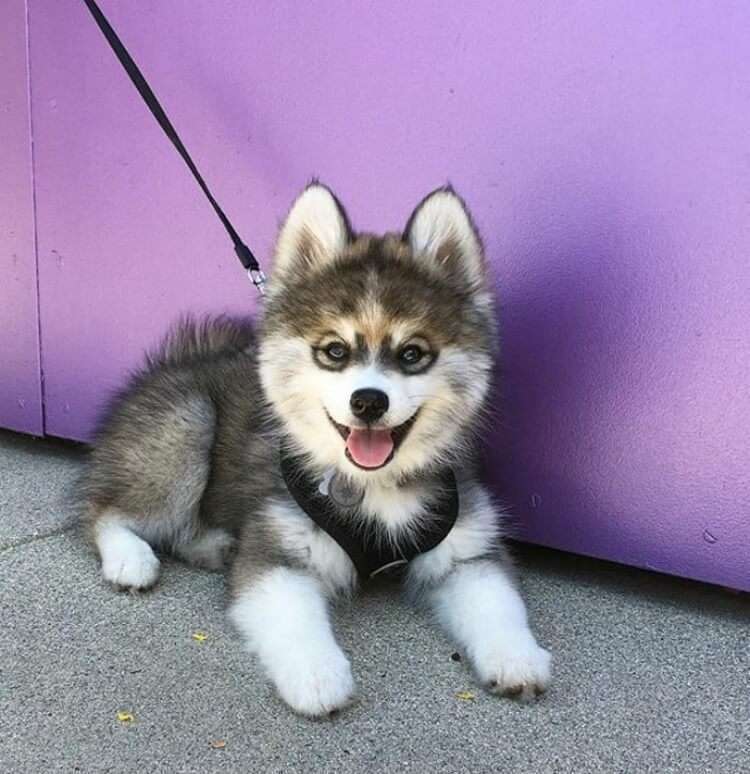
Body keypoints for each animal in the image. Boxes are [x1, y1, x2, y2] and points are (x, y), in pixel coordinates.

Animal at [79, 185, 552, 720]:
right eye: (335, 351)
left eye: (412, 353)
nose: (368, 401)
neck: (373, 487)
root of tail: (176, 362)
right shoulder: (278, 552)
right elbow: (293, 619)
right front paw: (319, 677)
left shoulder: (467, 551)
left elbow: (498, 604)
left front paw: (517, 658)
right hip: (186, 426)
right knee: (105, 511)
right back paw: (131, 558)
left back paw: (212, 545)